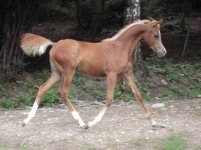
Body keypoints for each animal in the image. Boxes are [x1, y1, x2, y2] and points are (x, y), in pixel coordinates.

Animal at [20, 19, 166, 129]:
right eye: (156, 35)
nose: (163, 52)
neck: (120, 47)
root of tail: (55, 44)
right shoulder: (111, 75)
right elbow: (109, 99)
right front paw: (92, 123)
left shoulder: (127, 74)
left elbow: (139, 96)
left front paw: (154, 123)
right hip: (68, 73)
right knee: (63, 92)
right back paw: (82, 123)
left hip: (57, 74)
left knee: (42, 88)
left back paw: (26, 120)